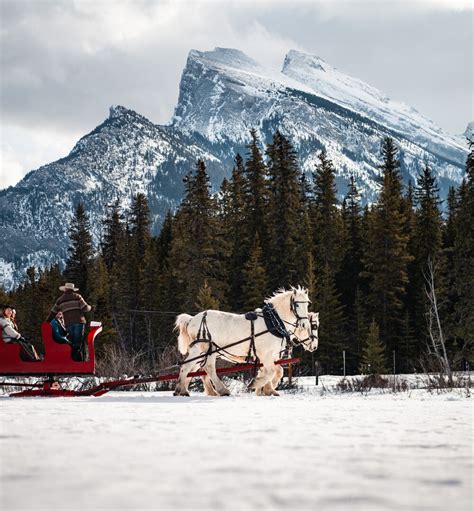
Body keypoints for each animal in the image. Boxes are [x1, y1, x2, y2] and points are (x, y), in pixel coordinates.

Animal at [173, 286, 312, 398]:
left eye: (307, 304)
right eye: (297, 304)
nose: (304, 325)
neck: (273, 322)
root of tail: (191, 319)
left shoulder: (272, 355)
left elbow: (275, 371)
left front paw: (268, 390)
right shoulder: (265, 354)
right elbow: (270, 372)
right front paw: (256, 384)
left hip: (201, 352)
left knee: (190, 367)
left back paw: (182, 390)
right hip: (207, 349)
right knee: (204, 368)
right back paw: (221, 390)